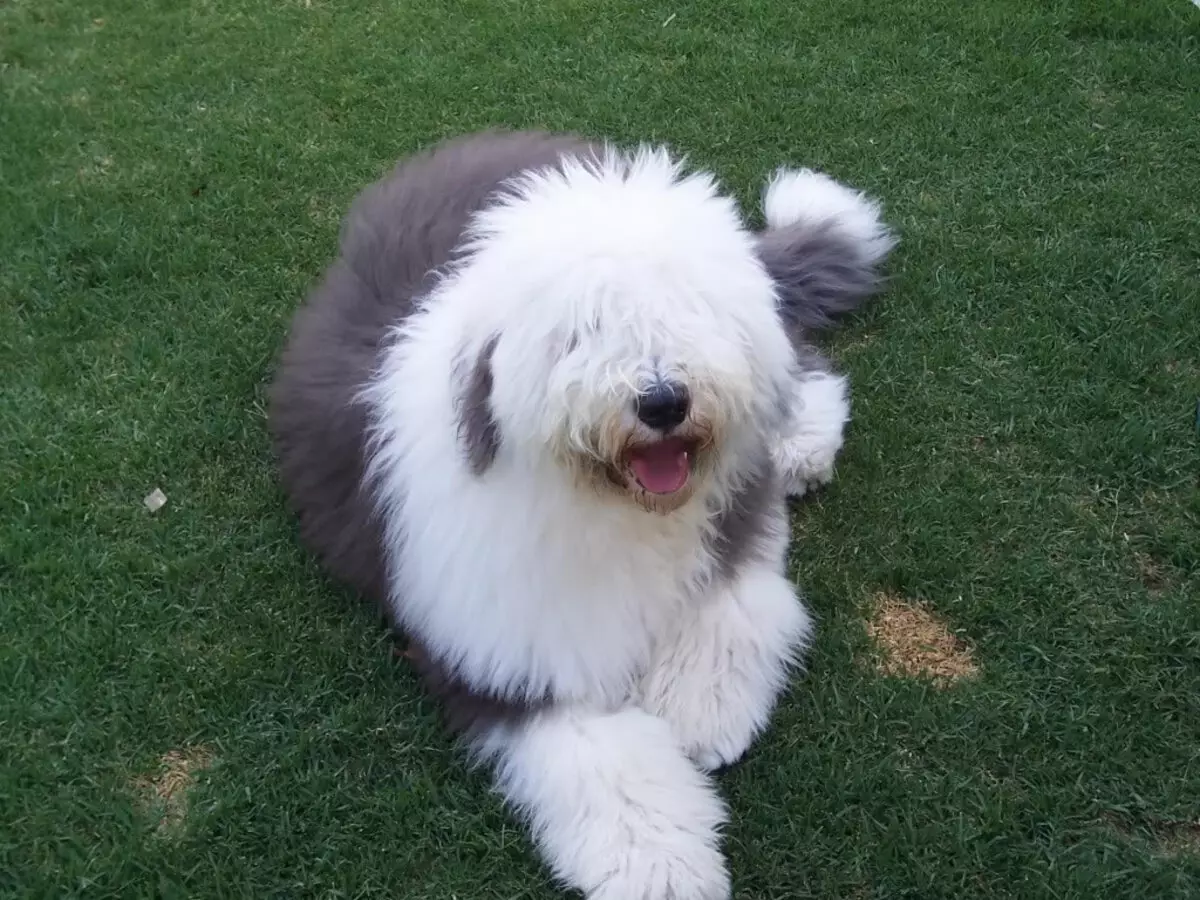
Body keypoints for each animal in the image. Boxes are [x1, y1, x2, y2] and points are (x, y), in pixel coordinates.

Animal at [270, 132, 892, 900]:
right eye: (581, 332)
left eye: (688, 310)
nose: (663, 402)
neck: (613, 504)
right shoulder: (511, 651)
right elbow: (602, 763)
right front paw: (664, 869)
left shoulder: (733, 528)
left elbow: (735, 611)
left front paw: (701, 712)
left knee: (800, 360)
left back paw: (802, 443)